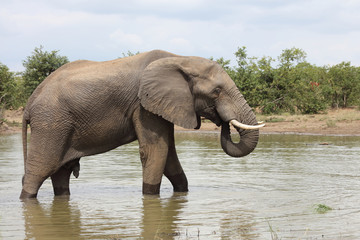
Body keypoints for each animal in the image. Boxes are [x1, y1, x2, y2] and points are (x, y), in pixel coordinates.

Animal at [20, 49, 264, 199]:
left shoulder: (161, 106)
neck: (179, 58)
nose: (222, 122)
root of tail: (29, 102)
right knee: (39, 171)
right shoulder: (144, 105)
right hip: (51, 122)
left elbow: (169, 154)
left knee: (60, 172)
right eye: (216, 92)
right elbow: (156, 150)